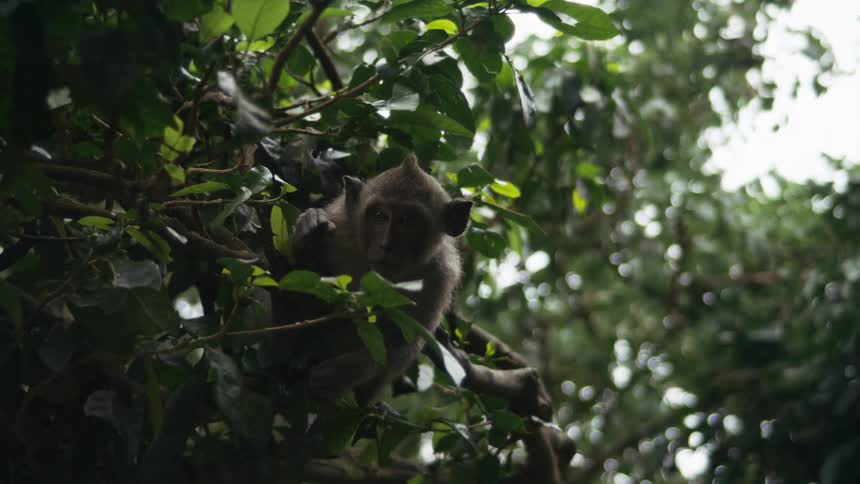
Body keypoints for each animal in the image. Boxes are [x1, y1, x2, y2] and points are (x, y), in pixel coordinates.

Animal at [291, 153, 472, 404]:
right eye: (380, 216)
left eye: (408, 221)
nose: (386, 245)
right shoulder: (340, 227)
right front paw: (309, 233)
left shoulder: (439, 278)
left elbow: (404, 340)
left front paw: (344, 372)